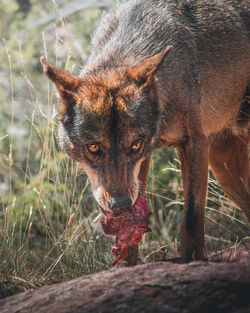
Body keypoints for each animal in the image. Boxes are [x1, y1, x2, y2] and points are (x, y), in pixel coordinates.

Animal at [41, 0, 248, 260]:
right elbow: (130, 231)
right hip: (225, 170)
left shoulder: (194, 144)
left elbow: (191, 218)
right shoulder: (142, 164)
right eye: (94, 147)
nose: (120, 204)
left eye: (135, 145)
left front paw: (193, 261)